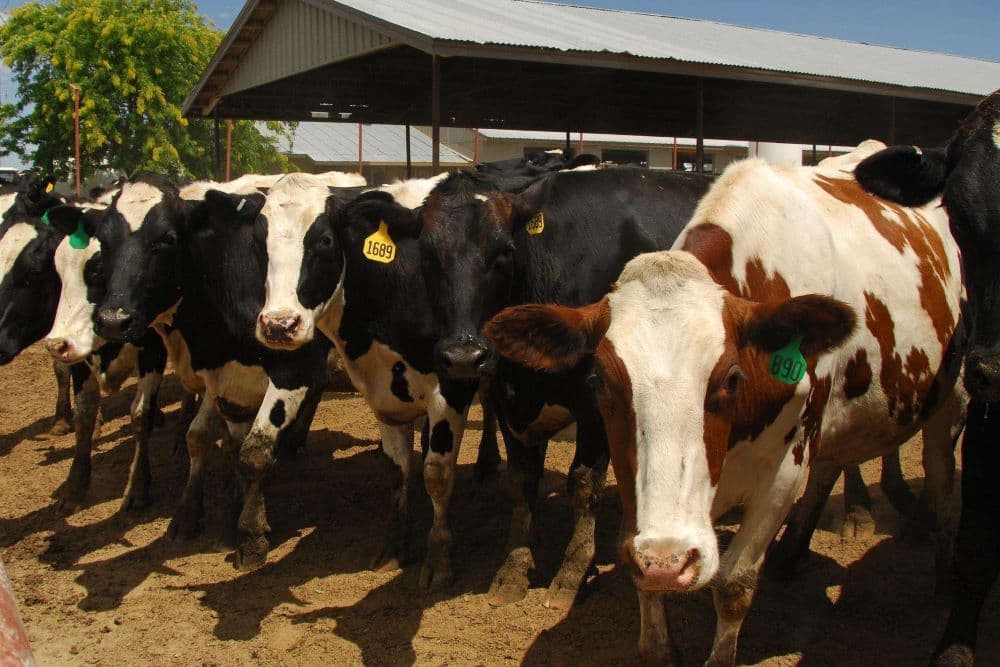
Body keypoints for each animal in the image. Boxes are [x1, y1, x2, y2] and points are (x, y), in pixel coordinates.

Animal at [242, 171, 496, 590]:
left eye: (325, 240)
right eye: (260, 241)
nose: (279, 325)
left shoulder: (454, 380)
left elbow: (436, 474)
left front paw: (439, 559)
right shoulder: (383, 397)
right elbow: (398, 470)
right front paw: (395, 548)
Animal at [418, 167, 712, 608]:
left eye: (505, 251)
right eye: (427, 252)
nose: (464, 356)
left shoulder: (598, 403)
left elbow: (584, 485)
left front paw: (573, 573)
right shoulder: (507, 399)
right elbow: (522, 482)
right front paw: (513, 568)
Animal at [484, 151, 966, 664]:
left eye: (731, 379)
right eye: (599, 380)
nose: (669, 561)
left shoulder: (784, 470)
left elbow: (734, 584)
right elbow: (644, 580)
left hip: (951, 404)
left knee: (942, 477)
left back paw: (943, 575)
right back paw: (791, 555)